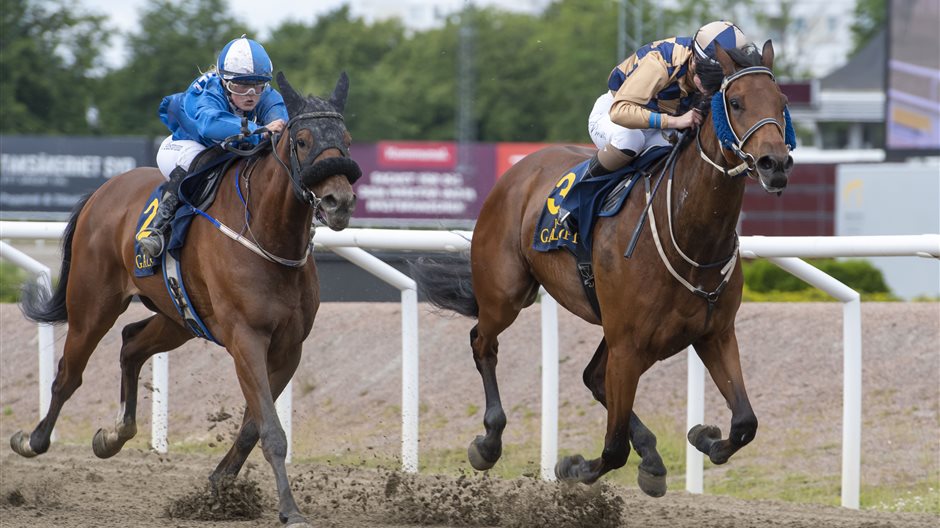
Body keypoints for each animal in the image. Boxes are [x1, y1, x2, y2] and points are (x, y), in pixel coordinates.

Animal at [12, 71, 358, 528]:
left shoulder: (289, 346)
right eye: (301, 140)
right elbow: (270, 429)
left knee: (131, 343)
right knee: (69, 374)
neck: (267, 234)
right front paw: (289, 509)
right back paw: (33, 440)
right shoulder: (246, 338)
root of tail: (103, 191)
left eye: (347, 140)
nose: (340, 201)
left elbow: (253, 425)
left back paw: (114, 435)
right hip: (92, 303)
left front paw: (219, 485)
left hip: (178, 319)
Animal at [412, 42, 792, 496]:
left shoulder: (713, 334)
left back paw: (652, 457)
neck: (690, 235)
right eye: (735, 102)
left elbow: (745, 423)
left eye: (782, 102)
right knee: (482, 343)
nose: (775, 164)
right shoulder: (629, 344)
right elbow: (612, 450)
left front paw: (704, 437)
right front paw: (573, 467)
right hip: (506, 294)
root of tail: (519, 169)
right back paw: (489, 441)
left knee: (592, 377)